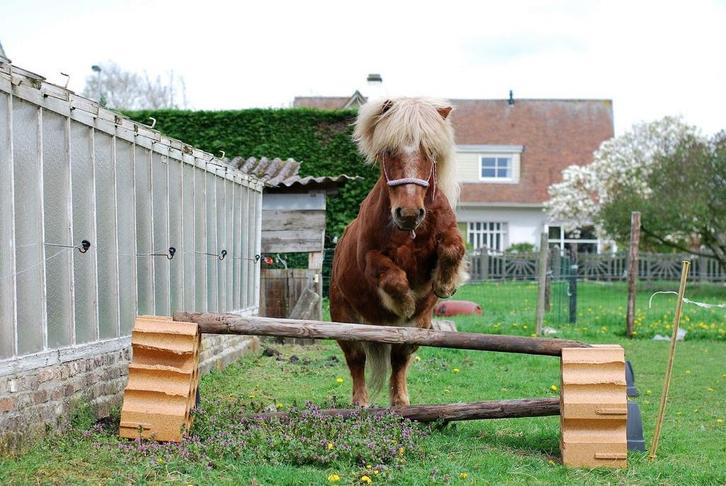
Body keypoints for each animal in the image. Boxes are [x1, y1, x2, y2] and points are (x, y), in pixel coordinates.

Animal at [330, 97, 467, 407]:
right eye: (389, 151)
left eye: (429, 152)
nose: (409, 213)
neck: (409, 233)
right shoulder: (370, 259)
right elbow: (391, 276)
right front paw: (404, 304)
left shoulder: (446, 235)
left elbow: (453, 248)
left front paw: (445, 284)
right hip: (346, 321)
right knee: (356, 359)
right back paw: (360, 401)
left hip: (418, 329)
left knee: (400, 358)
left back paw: (400, 401)